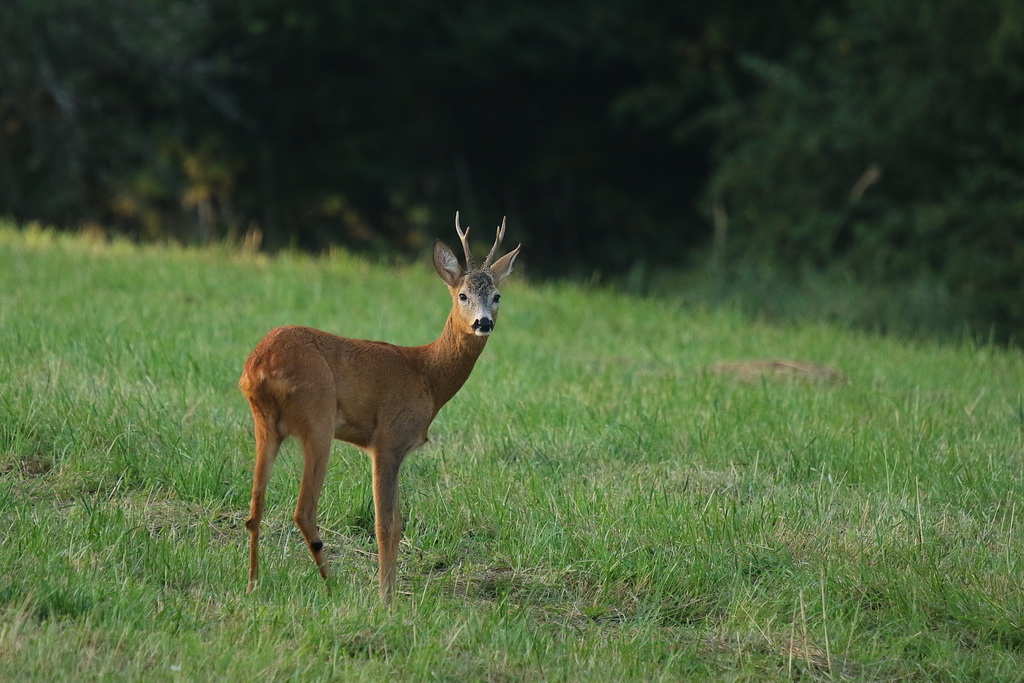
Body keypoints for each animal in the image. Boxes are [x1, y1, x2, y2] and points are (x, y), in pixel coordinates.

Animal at [238, 216, 520, 602]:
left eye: (497, 296)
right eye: (462, 295)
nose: (483, 322)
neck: (427, 375)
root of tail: (259, 365)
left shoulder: (397, 448)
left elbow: (398, 523)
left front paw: (391, 590)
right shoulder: (388, 439)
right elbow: (385, 523)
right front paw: (386, 598)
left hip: (264, 424)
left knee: (255, 506)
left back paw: (253, 584)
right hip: (318, 417)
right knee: (303, 510)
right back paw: (333, 586)